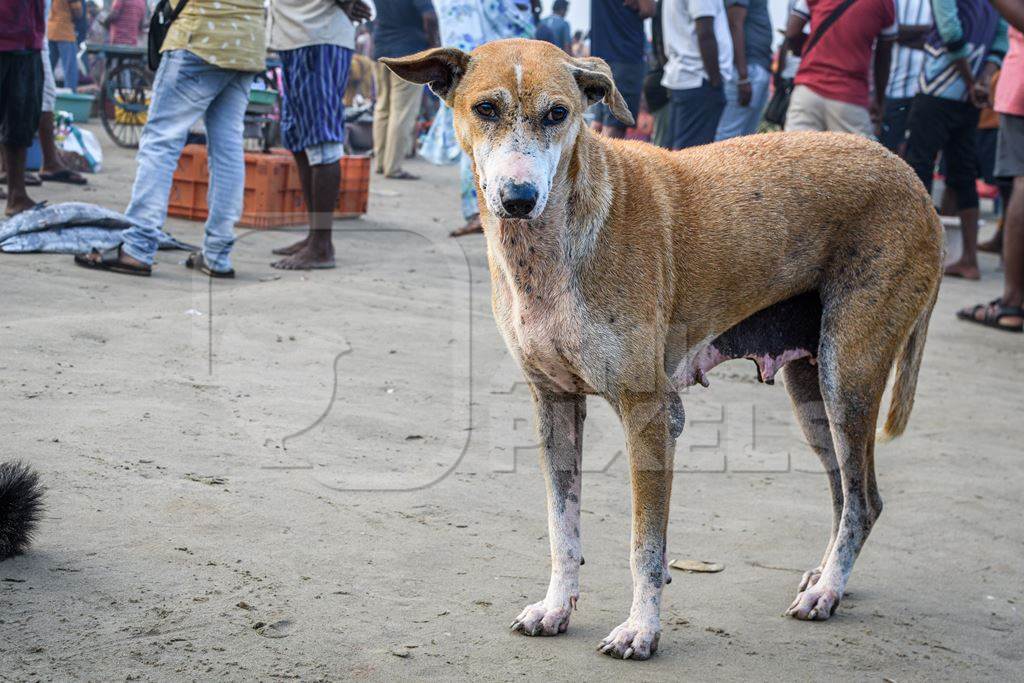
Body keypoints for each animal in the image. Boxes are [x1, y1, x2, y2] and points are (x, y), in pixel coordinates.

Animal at [385, 40, 942, 659]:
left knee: (864, 500)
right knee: (847, 495)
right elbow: (562, 527)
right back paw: (826, 578)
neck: (560, 238)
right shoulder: (554, 406)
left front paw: (641, 630)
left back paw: (828, 592)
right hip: (813, 393)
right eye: (485, 108)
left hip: (848, 378)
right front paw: (556, 607)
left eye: (558, 114)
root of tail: (915, 183)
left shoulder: (650, 415)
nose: (519, 198)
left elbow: (646, 548)